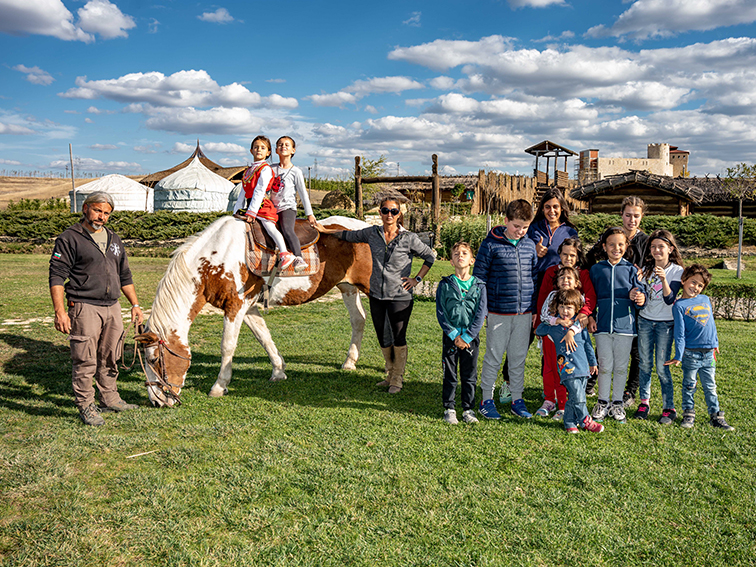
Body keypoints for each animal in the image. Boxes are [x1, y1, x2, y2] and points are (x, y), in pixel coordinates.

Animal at [137, 215, 374, 406]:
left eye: (153, 360)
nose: (157, 401)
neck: (214, 260)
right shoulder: (248, 307)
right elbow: (264, 336)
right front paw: (278, 371)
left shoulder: (235, 306)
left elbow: (227, 346)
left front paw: (219, 386)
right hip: (347, 287)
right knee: (358, 320)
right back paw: (349, 362)